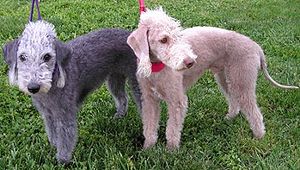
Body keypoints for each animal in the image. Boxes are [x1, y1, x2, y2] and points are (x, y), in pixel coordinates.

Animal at [2, 20, 142, 164]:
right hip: (115, 78)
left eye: (47, 56)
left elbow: (65, 139)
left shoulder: (65, 115)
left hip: (137, 82)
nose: (33, 87)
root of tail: (131, 35)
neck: (52, 85)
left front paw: (62, 160)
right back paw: (119, 115)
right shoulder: (48, 114)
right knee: (122, 98)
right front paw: (54, 146)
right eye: (22, 57)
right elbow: (52, 134)